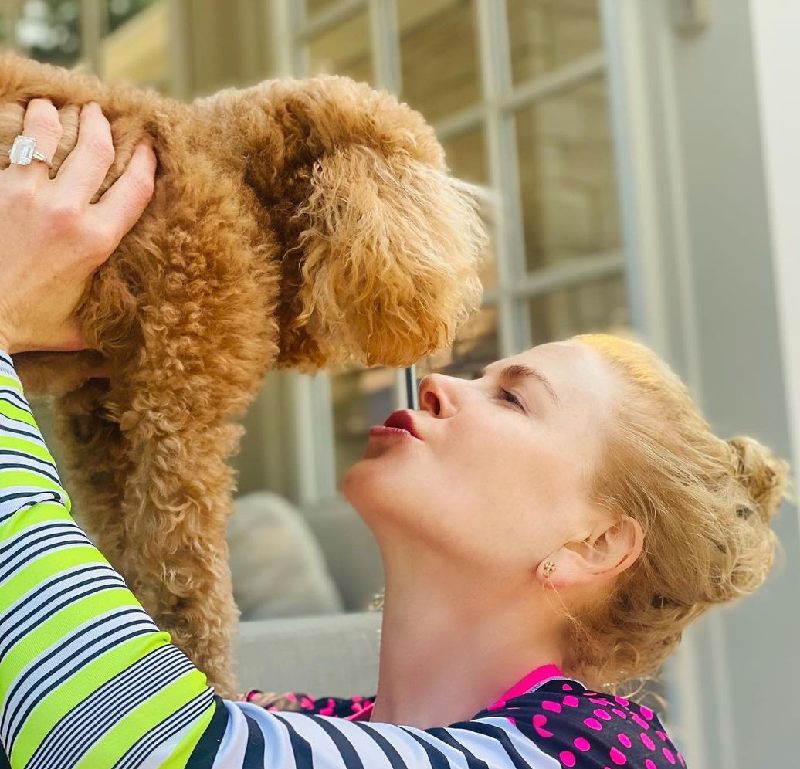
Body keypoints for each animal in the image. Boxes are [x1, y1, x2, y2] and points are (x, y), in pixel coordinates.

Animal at [1, 51, 488, 692]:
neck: (239, 165)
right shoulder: (180, 413)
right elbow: (185, 578)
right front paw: (211, 683)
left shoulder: (100, 422)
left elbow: (128, 552)